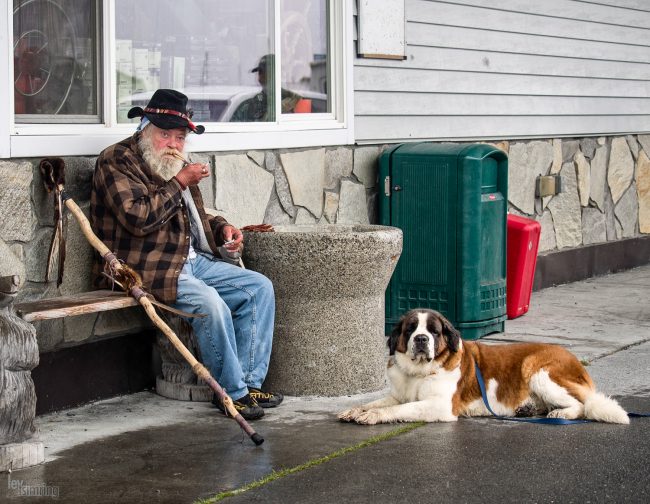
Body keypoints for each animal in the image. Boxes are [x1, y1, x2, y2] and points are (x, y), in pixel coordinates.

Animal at [340, 310, 628, 424]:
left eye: (433, 331)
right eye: (411, 329)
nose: (421, 339)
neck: (419, 372)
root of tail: (574, 358)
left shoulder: (440, 405)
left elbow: (400, 408)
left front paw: (373, 416)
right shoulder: (399, 393)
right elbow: (379, 402)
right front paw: (356, 409)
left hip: (539, 371)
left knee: (582, 405)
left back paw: (560, 413)